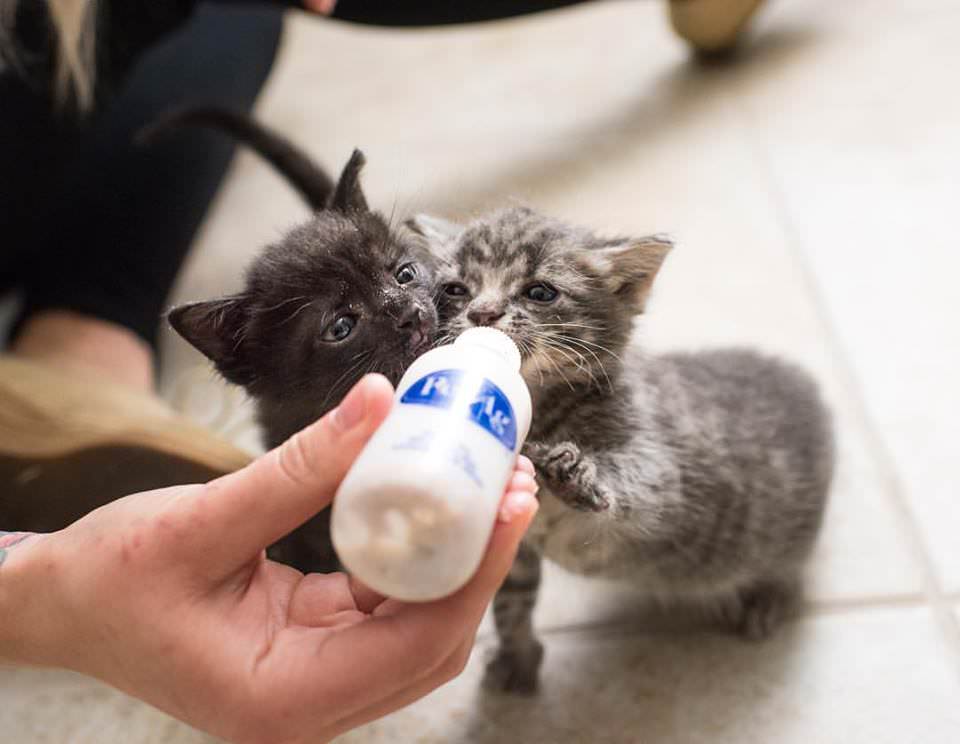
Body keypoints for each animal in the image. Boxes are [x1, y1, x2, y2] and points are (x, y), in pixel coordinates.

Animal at [408, 206, 836, 696]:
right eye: (455, 290)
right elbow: (511, 600)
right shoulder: (516, 547)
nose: (482, 312)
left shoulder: (659, 456)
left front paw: (576, 473)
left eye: (540, 291)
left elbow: (640, 480)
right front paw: (516, 655)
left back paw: (766, 596)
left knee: (790, 566)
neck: (539, 407)